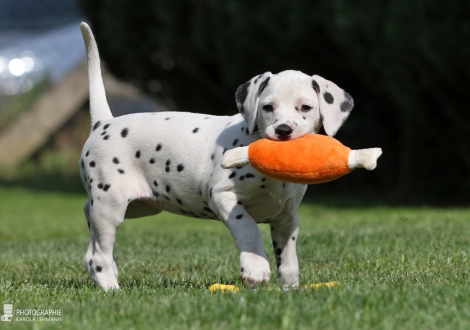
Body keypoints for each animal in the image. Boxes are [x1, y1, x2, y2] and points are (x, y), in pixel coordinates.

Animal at [80, 22, 352, 292]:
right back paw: (111, 287)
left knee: (89, 222)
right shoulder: (223, 196)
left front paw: (289, 286)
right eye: (267, 107)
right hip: (112, 203)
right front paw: (255, 267)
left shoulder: (286, 217)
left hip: (139, 206)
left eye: (305, 107)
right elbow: (248, 228)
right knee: (99, 254)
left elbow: (288, 256)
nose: (283, 131)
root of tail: (104, 123)